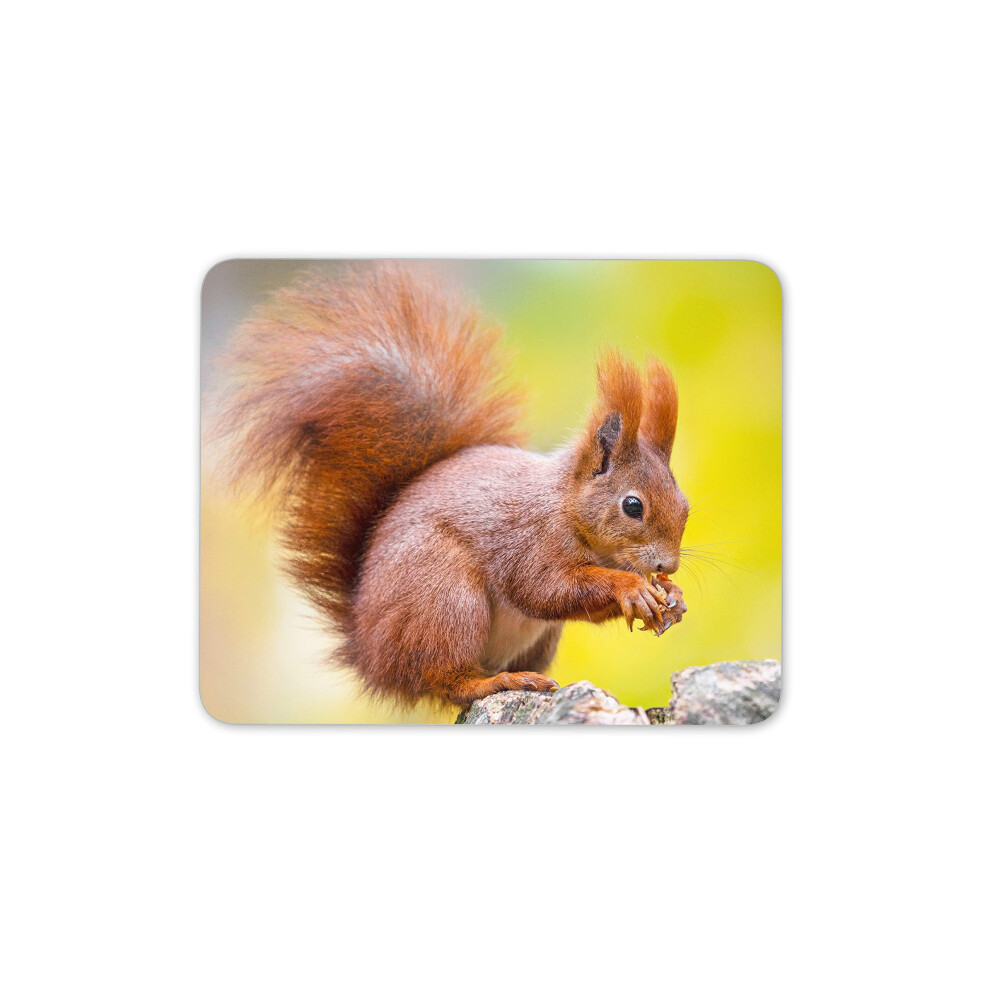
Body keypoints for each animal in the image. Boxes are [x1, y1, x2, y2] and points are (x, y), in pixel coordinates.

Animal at [213, 263, 689, 709]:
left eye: (685, 505)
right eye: (633, 506)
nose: (668, 565)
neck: (567, 506)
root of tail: (369, 654)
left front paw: (671, 597)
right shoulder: (530, 541)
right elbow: (543, 589)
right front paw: (630, 587)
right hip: (445, 597)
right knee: (446, 679)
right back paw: (499, 681)